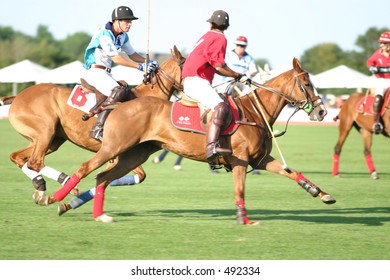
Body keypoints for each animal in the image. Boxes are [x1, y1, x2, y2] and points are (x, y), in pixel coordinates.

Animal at [6, 46, 185, 203]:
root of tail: (17, 97)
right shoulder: (117, 152)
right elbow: (130, 175)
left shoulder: (117, 155)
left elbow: (136, 176)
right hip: (45, 131)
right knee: (34, 162)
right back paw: (66, 183)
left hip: (52, 140)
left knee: (18, 157)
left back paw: (40, 188)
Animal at [48, 58, 336, 224]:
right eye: (307, 84)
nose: (323, 112)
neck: (255, 112)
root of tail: (117, 104)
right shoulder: (241, 160)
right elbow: (240, 190)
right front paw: (244, 219)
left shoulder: (260, 159)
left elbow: (291, 172)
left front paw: (322, 193)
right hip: (113, 147)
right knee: (86, 168)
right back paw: (55, 198)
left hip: (134, 153)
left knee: (102, 178)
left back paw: (96, 213)